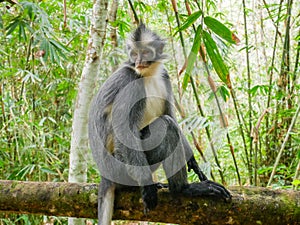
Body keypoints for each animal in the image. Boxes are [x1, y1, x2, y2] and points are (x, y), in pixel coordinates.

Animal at [88, 23, 231, 225]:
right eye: (134, 54)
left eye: (146, 52)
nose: (139, 62)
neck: (147, 74)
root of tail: (104, 175)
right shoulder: (131, 84)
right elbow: (125, 133)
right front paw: (149, 189)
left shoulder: (165, 77)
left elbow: (170, 114)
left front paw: (192, 161)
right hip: (122, 169)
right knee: (166, 126)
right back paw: (182, 189)